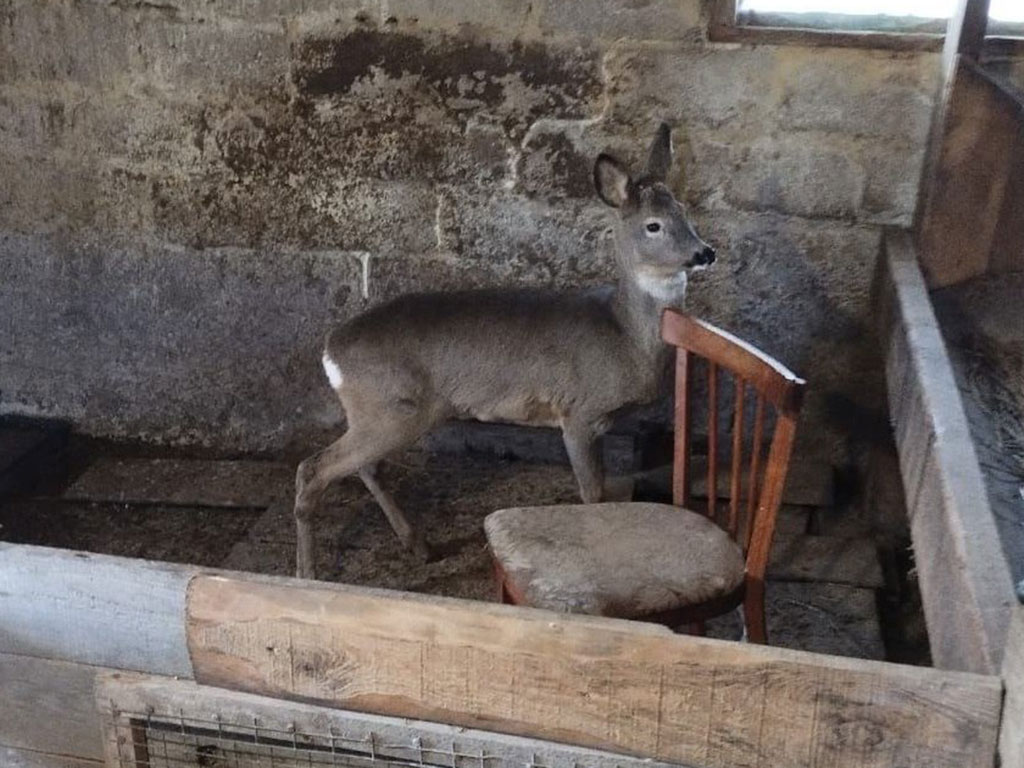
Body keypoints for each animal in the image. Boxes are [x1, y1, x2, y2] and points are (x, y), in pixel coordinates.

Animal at [292, 123, 716, 577]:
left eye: (685, 212)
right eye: (654, 225)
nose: (705, 252)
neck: (623, 334)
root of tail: (331, 350)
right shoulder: (578, 412)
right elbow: (592, 494)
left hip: (383, 412)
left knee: (364, 466)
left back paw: (420, 546)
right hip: (389, 408)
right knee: (312, 469)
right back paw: (307, 573)